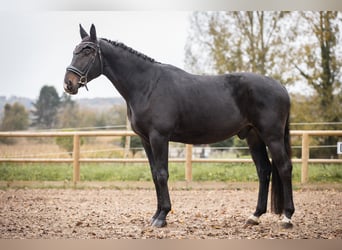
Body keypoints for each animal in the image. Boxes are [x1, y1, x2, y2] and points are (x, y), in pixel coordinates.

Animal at [65, 24, 296, 229]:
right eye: (75, 49)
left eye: (87, 51)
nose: (69, 83)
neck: (147, 85)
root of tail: (281, 87)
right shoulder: (146, 140)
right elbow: (154, 174)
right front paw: (156, 214)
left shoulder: (159, 137)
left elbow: (162, 174)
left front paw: (162, 217)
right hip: (253, 136)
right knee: (264, 170)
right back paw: (254, 216)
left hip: (272, 136)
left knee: (284, 168)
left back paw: (287, 217)